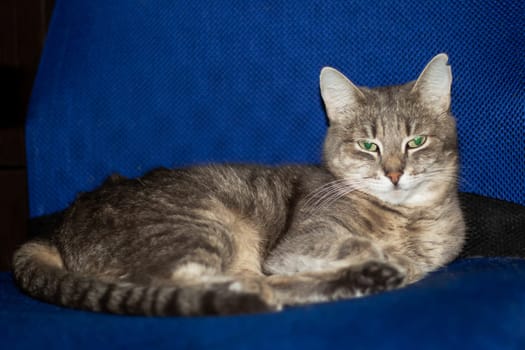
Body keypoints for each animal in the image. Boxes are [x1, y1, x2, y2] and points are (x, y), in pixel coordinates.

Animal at [11, 53, 462, 316]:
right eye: (368, 145)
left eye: (416, 141)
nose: (394, 173)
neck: (408, 219)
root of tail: (58, 230)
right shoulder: (299, 243)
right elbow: (354, 243)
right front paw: (388, 257)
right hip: (202, 227)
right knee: (187, 286)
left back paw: (362, 281)